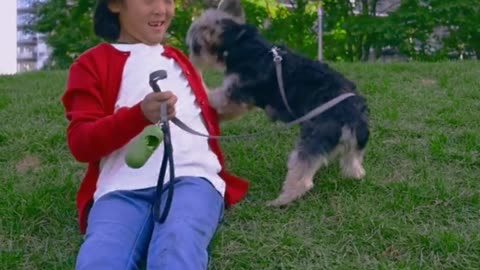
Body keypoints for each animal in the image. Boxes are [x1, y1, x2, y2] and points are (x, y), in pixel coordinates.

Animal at [186, 0, 370, 207]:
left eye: (195, 45)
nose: (191, 56)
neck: (241, 43)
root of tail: (353, 116)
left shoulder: (235, 95)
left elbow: (214, 99)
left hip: (313, 138)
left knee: (302, 178)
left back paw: (280, 201)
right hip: (353, 146)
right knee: (354, 165)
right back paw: (354, 174)